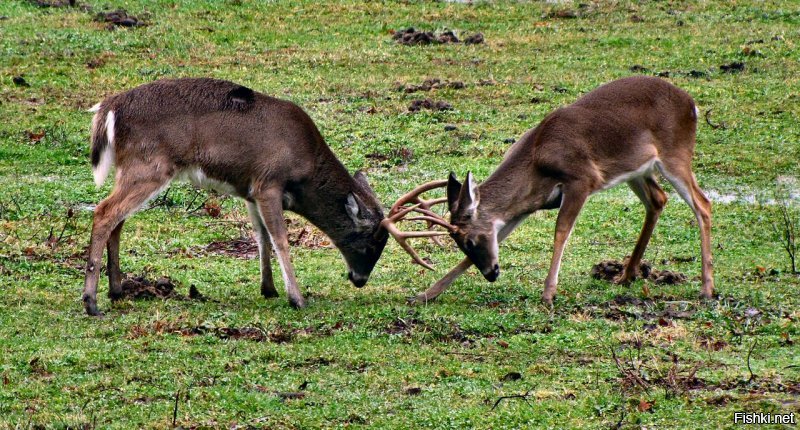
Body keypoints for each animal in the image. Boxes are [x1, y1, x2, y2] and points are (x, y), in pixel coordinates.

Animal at [83, 78, 390, 316]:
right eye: (371, 242)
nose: (359, 279)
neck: (304, 166)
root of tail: (108, 109)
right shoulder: (269, 183)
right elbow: (280, 239)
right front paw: (297, 298)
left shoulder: (250, 191)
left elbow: (262, 238)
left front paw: (269, 288)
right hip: (150, 166)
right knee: (105, 212)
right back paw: (91, 302)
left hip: (133, 169)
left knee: (118, 219)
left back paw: (116, 290)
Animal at [384, 75, 716, 304]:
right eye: (460, 243)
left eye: (468, 240)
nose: (491, 274)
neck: (536, 158)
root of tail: (692, 105)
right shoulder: (527, 204)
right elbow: (501, 237)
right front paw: (426, 294)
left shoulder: (581, 180)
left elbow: (561, 231)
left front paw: (548, 294)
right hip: (638, 169)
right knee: (658, 199)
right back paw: (626, 275)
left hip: (675, 153)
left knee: (703, 204)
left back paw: (706, 287)